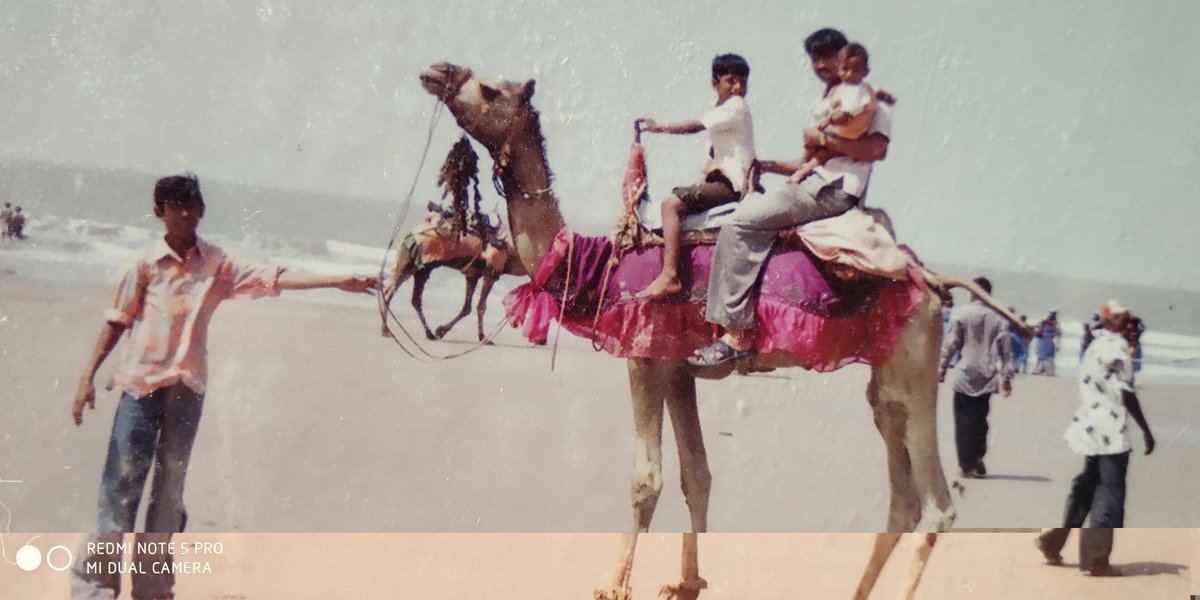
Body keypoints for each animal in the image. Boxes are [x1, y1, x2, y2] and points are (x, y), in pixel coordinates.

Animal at [418, 62, 1020, 600]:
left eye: (489, 88)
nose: (437, 70)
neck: (597, 265)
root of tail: (930, 280)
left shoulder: (643, 355)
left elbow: (647, 479)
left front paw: (612, 586)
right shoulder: (677, 366)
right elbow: (697, 474)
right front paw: (687, 582)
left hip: (915, 361)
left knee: (938, 506)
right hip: (889, 380)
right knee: (903, 497)